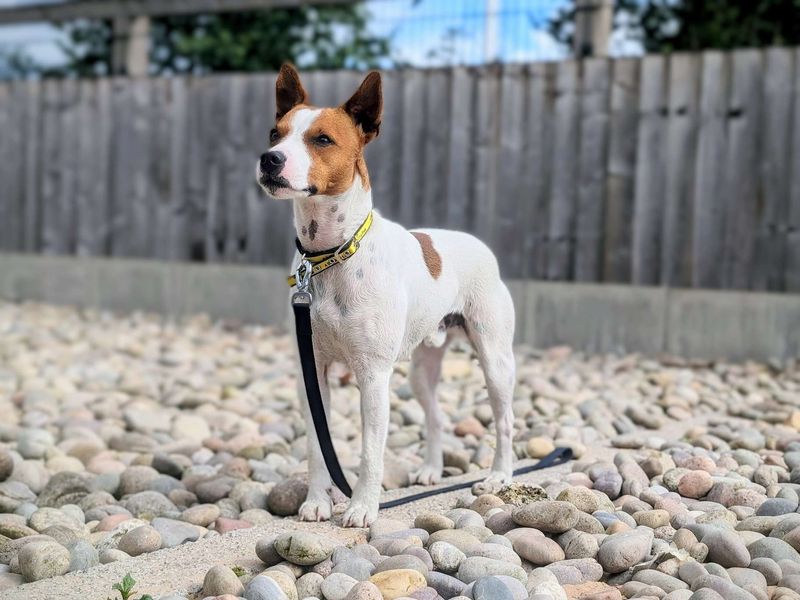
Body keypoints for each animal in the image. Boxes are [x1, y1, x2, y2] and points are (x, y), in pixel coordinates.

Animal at [260, 63, 516, 528]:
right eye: (275, 133)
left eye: (322, 139)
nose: (269, 158)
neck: (332, 255)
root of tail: (478, 245)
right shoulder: (313, 373)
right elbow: (317, 447)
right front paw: (318, 502)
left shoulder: (373, 376)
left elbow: (369, 451)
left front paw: (362, 507)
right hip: (421, 370)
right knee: (436, 417)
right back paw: (432, 469)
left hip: (495, 360)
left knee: (505, 421)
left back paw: (499, 476)